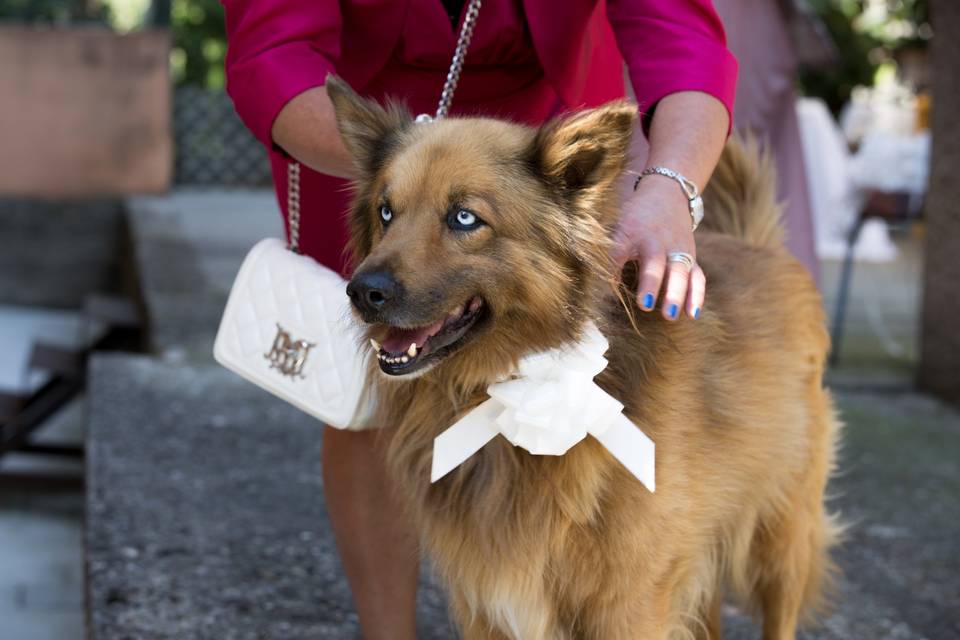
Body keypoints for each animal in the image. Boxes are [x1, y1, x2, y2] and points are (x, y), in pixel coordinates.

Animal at [326, 76, 836, 640]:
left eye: (464, 218)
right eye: (385, 212)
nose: (361, 293)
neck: (505, 390)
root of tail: (760, 245)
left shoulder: (631, 606)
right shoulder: (486, 603)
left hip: (780, 541)